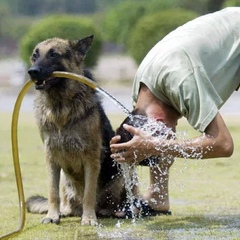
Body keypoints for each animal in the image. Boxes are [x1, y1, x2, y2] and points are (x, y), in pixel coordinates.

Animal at [26, 35, 125, 225]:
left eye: (53, 55)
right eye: (35, 55)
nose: (32, 71)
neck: (60, 107)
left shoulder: (91, 159)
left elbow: (89, 193)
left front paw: (89, 218)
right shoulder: (51, 158)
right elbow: (52, 192)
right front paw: (52, 215)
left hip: (121, 172)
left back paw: (111, 212)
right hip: (65, 180)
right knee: (67, 202)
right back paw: (65, 212)